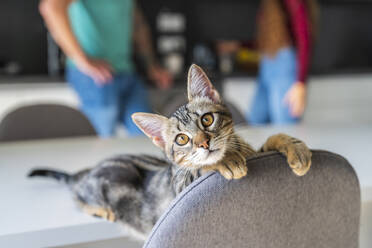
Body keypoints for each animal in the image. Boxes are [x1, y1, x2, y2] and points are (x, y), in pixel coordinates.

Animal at [30, 63, 312, 240]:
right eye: (182, 139)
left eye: (207, 120)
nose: (204, 143)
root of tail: (90, 170)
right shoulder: (180, 185)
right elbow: (200, 166)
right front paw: (227, 160)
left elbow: (275, 138)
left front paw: (295, 147)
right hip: (112, 180)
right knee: (77, 195)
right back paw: (98, 208)